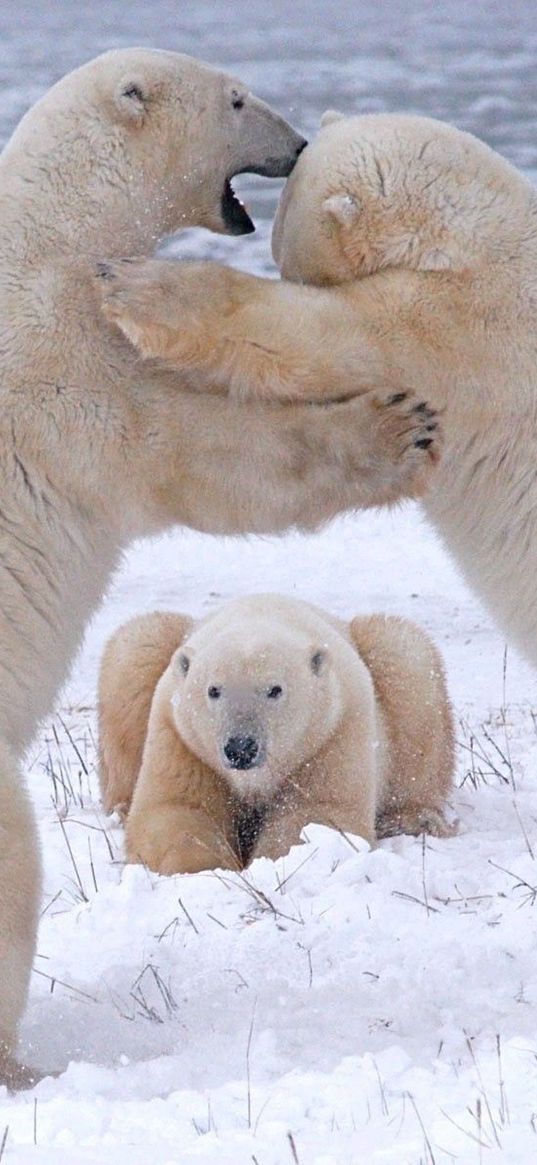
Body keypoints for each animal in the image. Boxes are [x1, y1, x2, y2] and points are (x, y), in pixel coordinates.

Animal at [97, 113, 537, 671]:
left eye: (286, 254)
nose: (284, 272)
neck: (480, 241)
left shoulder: (461, 330)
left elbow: (313, 338)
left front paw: (132, 282)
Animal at [98, 591, 454, 876]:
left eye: (274, 689)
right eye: (214, 690)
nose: (241, 747)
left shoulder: (332, 730)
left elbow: (314, 812)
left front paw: (273, 864)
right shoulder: (182, 736)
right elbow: (177, 808)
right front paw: (207, 869)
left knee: (408, 661)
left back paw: (413, 819)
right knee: (134, 650)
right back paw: (121, 808)